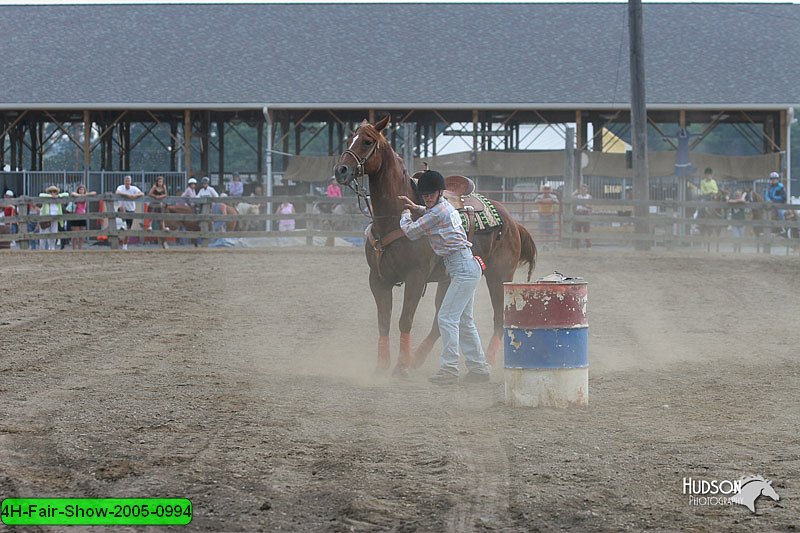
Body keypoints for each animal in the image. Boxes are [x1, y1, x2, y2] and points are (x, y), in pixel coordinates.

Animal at [332, 116, 536, 374]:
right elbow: (384, 323)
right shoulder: (377, 279)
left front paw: (400, 367)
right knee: (442, 320)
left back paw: (487, 360)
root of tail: (512, 221)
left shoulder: (415, 277)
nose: (341, 170)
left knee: (499, 319)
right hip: (449, 280)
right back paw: (418, 358)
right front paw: (382, 366)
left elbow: (405, 320)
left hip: (499, 276)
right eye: (350, 138)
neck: (391, 220)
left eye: (367, 141)